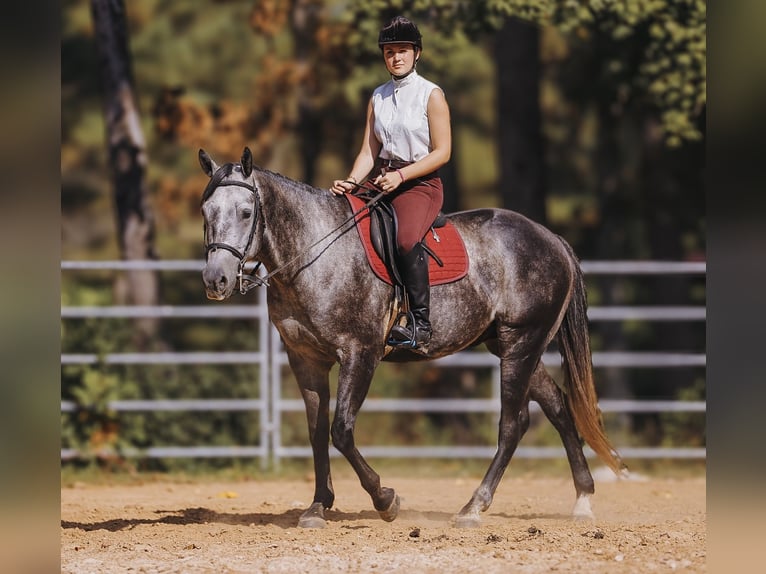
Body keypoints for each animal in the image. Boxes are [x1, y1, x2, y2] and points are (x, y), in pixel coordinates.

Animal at [198, 147, 624, 532]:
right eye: (206, 212)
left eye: (246, 212)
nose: (216, 279)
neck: (314, 254)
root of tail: (551, 239)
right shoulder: (305, 359)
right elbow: (317, 433)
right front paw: (318, 507)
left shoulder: (361, 353)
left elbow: (341, 430)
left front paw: (386, 499)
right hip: (512, 346)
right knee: (558, 407)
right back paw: (582, 500)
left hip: (522, 343)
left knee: (512, 424)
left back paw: (472, 508)